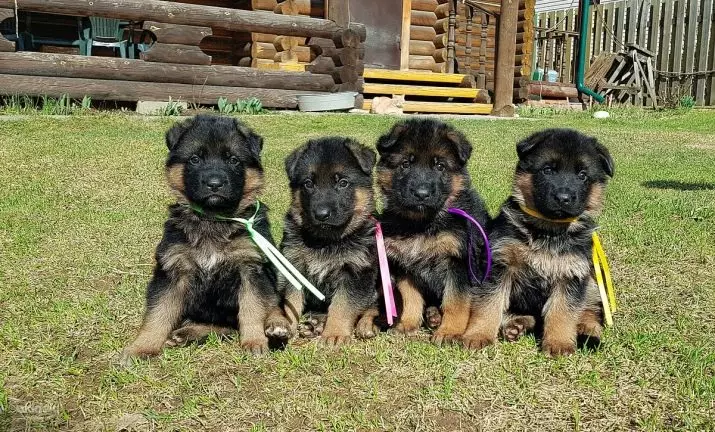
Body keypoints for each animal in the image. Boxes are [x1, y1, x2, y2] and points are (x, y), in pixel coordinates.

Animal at [121, 115, 290, 364]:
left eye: (233, 160)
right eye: (195, 159)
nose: (214, 183)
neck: (212, 218)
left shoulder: (251, 268)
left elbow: (252, 308)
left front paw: (254, 342)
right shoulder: (172, 270)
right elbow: (158, 313)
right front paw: (142, 347)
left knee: (272, 303)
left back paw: (277, 325)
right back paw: (186, 333)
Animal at [280, 137, 384, 346]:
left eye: (343, 183)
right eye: (308, 184)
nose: (321, 215)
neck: (326, 241)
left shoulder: (356, 271)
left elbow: (342, 305)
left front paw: (335, 333)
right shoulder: (293, 265)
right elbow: (291, 301)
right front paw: (285, 326)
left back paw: (366, 324)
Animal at [374, 117, 492, 344]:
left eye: (439, 166)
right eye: (406, 164)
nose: (421, 194)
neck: (422, 224)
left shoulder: (458, 262)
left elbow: (455, 301)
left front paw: (449, 331)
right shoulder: (405, 264)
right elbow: (411, 297)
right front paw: (407, 324)